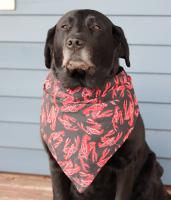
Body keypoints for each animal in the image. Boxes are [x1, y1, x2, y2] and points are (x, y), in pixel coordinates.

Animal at [41, 9, 171, 200]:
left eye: (97, 27)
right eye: (64, 26)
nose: (74, 42)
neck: (84, 95)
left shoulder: (126, 164)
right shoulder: (56, 163)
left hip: (151, 169)